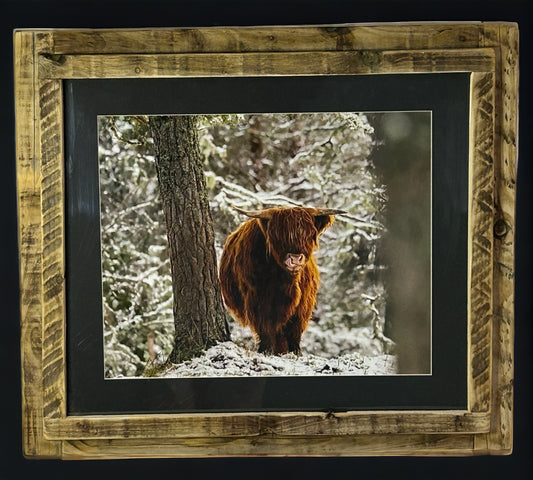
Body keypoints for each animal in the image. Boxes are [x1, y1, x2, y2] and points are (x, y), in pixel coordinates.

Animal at [217, 204, 344, 354]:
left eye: (310, 233)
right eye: (278, 234)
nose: (295, 259)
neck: (285, 282)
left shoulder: (303, 304)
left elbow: (295, 330)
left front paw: (296, 352)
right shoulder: (257, 298)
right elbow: (265, 326)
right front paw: (266, 350)